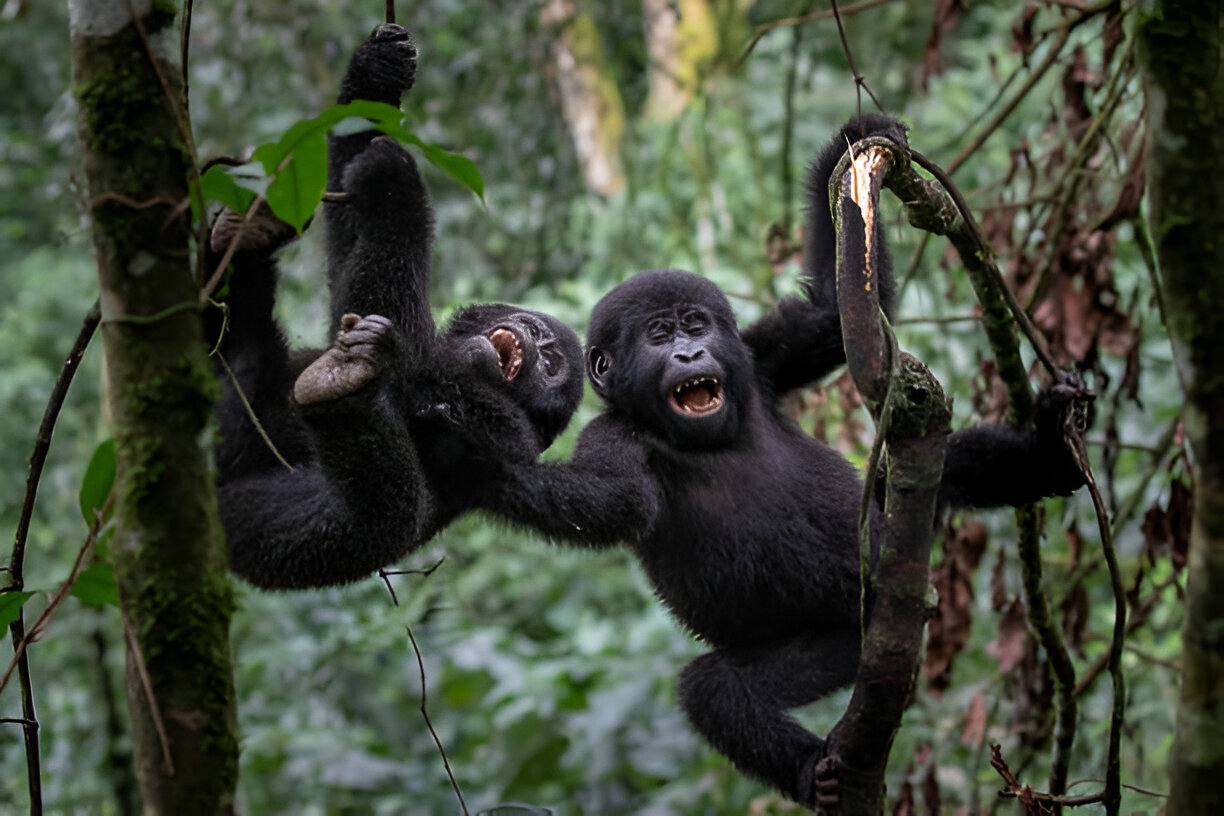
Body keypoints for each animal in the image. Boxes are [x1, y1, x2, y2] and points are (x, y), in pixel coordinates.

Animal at [210, 22, 582, 589]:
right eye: (536, 328)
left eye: (554, 362)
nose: (536, 340)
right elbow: (347, 254)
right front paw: (375, 74)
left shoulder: (505, 428)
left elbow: (406, 355)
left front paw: (397, 188)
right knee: (240, 354)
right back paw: (245, 240)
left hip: (274, 545)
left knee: (371, 516)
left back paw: (341, 393)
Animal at [482, 116, 1086, 812]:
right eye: (658, 336)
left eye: (696, 325)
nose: (690, 354)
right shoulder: (615, 436)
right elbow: (607, 503)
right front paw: (479, 456)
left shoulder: (759, 358)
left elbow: (827, 317)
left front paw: (851, 145)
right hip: (841, 642)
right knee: (717, 691)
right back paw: (809, 771)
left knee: (940, 470)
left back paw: (1049, 455)